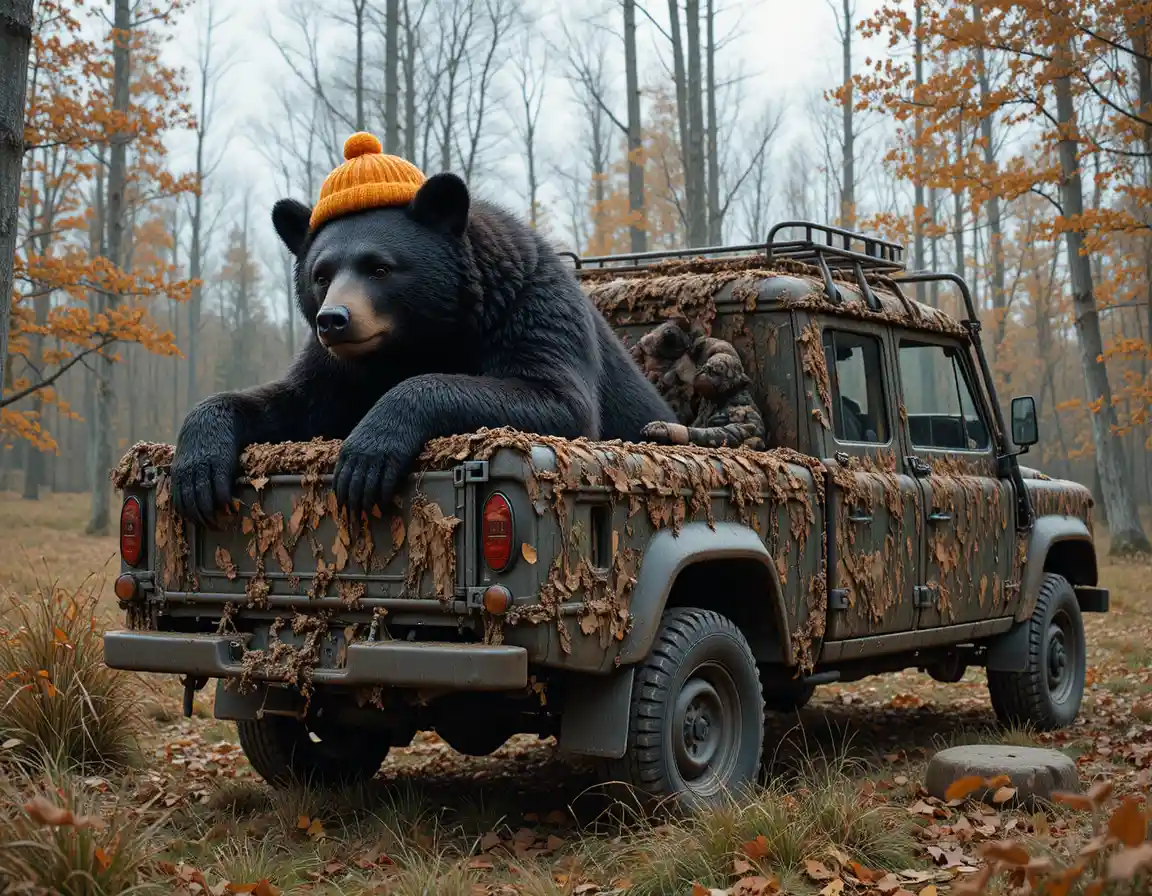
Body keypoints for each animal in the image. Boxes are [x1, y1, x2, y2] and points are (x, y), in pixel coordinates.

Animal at [171, 132, 676, 526]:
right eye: (321, 274)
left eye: (379, 268)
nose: (332, 319)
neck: (421, 338)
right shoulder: (335, 369)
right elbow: (294, 402)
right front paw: (197, 467)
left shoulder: (530, 309)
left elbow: (556, 399)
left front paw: (367, 455)